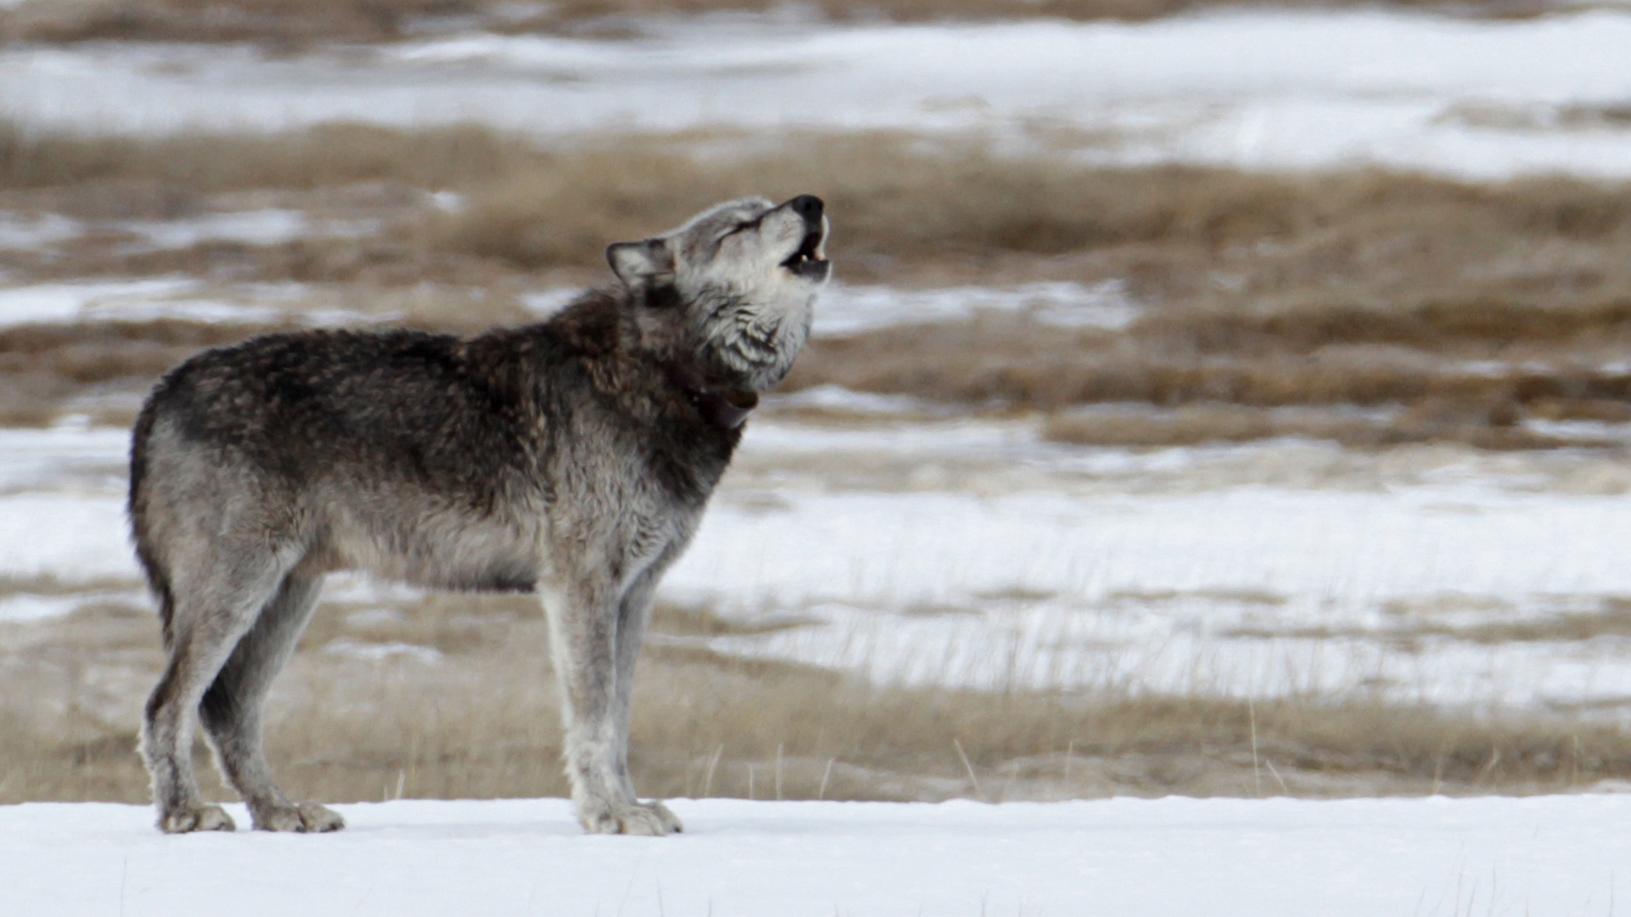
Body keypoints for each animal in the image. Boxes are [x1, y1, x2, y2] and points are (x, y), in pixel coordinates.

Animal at [128, 194, 830, 835]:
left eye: (770, 204)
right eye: (741, 224)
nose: (810, 202)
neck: (665, 371)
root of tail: (162, 389)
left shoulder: (636, 593)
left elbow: (620, 718)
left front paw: (629, 806)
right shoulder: (582, 587)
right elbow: (594, 718)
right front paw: (610, 816)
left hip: (287, 597)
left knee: (227, 708)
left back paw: (280, 812)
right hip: (238, 592)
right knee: (167, 703)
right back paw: (186, 814)